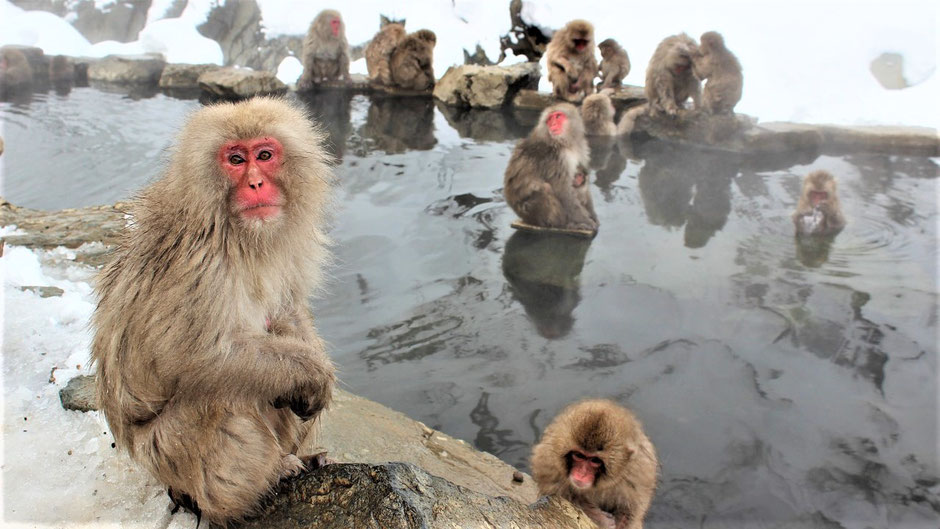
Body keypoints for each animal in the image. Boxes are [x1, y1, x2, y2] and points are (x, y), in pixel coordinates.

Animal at [504, 103, 600, 231]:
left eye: (558, 116)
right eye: (549, 120)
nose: (553, 124)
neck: (564, 143)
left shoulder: (581, 147)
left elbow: (582, 184)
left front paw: (593, 215)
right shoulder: (555, 158)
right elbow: (563, 192)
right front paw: (586, 221)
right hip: (530, 212)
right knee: (545, 188)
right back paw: (564, 224)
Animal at [532, 398, 656, 528]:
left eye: (595, 460)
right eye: (579, 455)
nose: (581, 474)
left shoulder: (638, 472)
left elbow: (631, 511)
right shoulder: (549, 464)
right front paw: (599, 517)